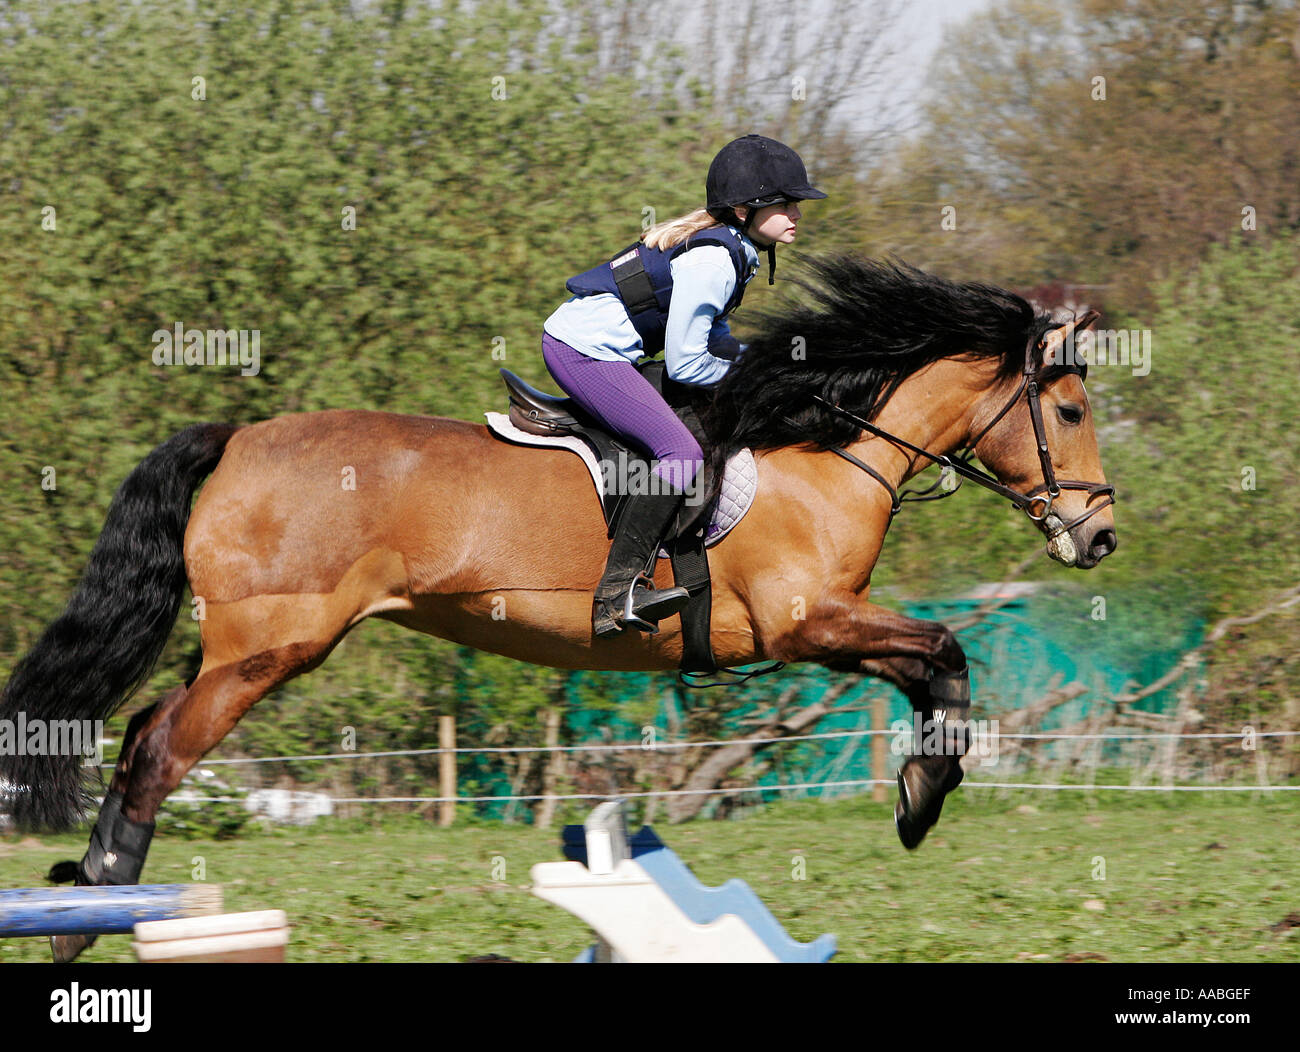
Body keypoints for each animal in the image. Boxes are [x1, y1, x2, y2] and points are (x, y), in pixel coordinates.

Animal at [0, 256, 1118, 962]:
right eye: (1067, 409)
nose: (1098, 535)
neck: (820, 444)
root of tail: (237, 437)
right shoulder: (810, 620)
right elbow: (947, 645)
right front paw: (922, 796)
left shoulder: (828, 627)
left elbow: (936, 664)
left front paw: (920, 788)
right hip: (272, 646)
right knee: (157, 750)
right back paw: (84, 917)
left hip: (242, 647)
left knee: (142, 731)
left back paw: (88, 895)